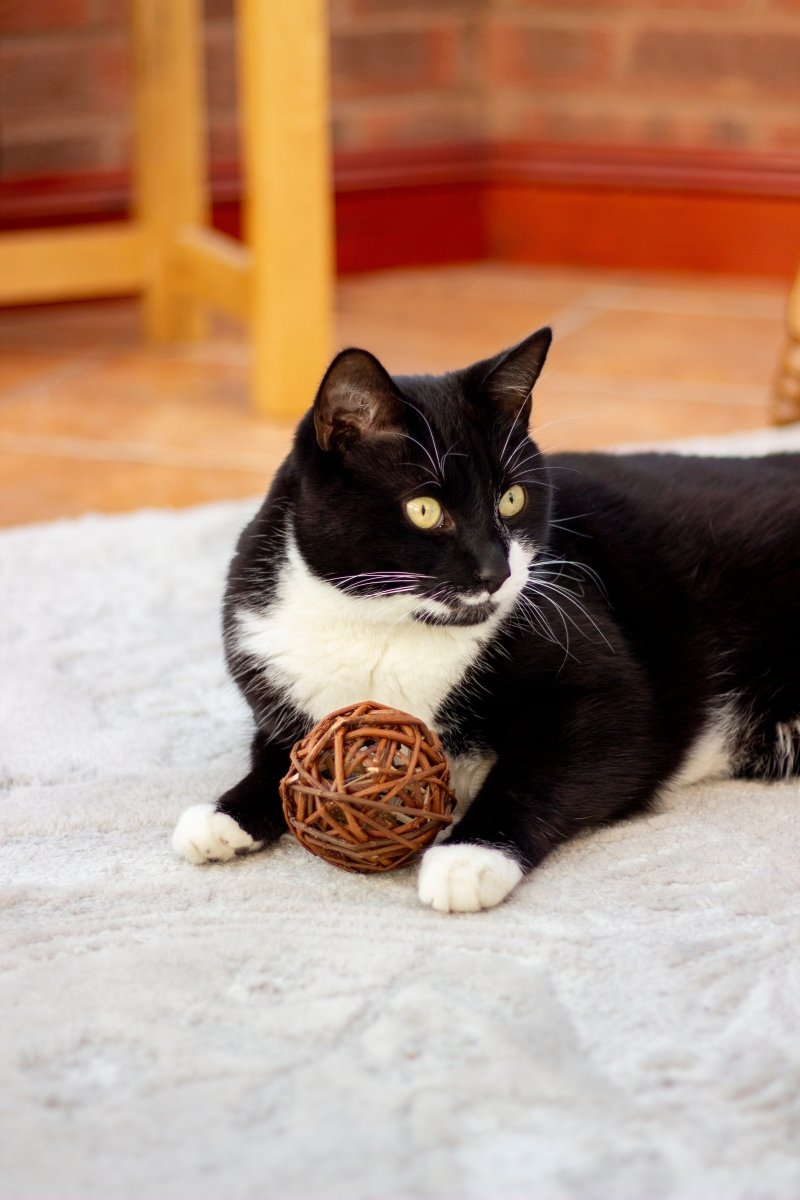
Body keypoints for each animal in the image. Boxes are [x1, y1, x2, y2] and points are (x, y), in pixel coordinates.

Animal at [173, 328, 800, 907]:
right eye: (425, 510)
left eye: (512, 500)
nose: (497, 570)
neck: (384, 626)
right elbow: (277, 754)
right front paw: (224, 815)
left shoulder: (607, 682)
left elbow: (543, 770)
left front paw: (468, 860)